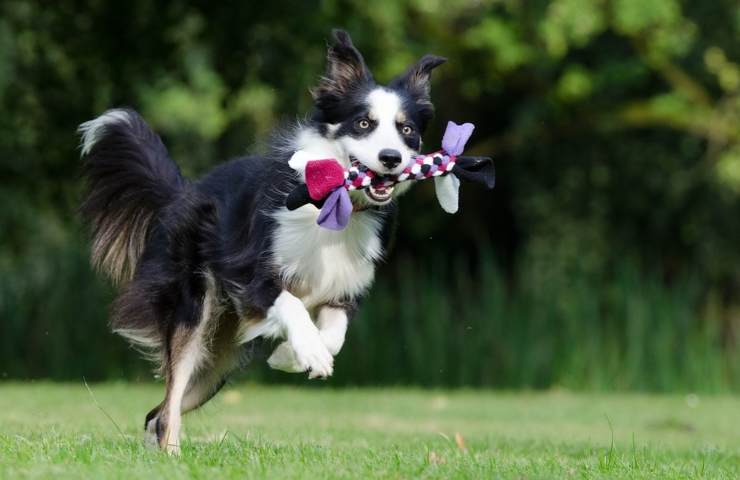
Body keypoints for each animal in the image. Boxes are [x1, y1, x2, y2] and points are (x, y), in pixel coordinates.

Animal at [77, 31, 446, 454]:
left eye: (407, 130)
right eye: (364, 123)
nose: (391, 158)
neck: (336, 204)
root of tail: (183, 192)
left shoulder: (345, 287)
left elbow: (335, 335)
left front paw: (292, 356)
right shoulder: (249, 273)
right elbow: (291, 304)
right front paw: (309, 352)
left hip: (218, 359)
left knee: (158, 412)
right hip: (194, 309)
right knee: (169, 404)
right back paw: (172, 455)